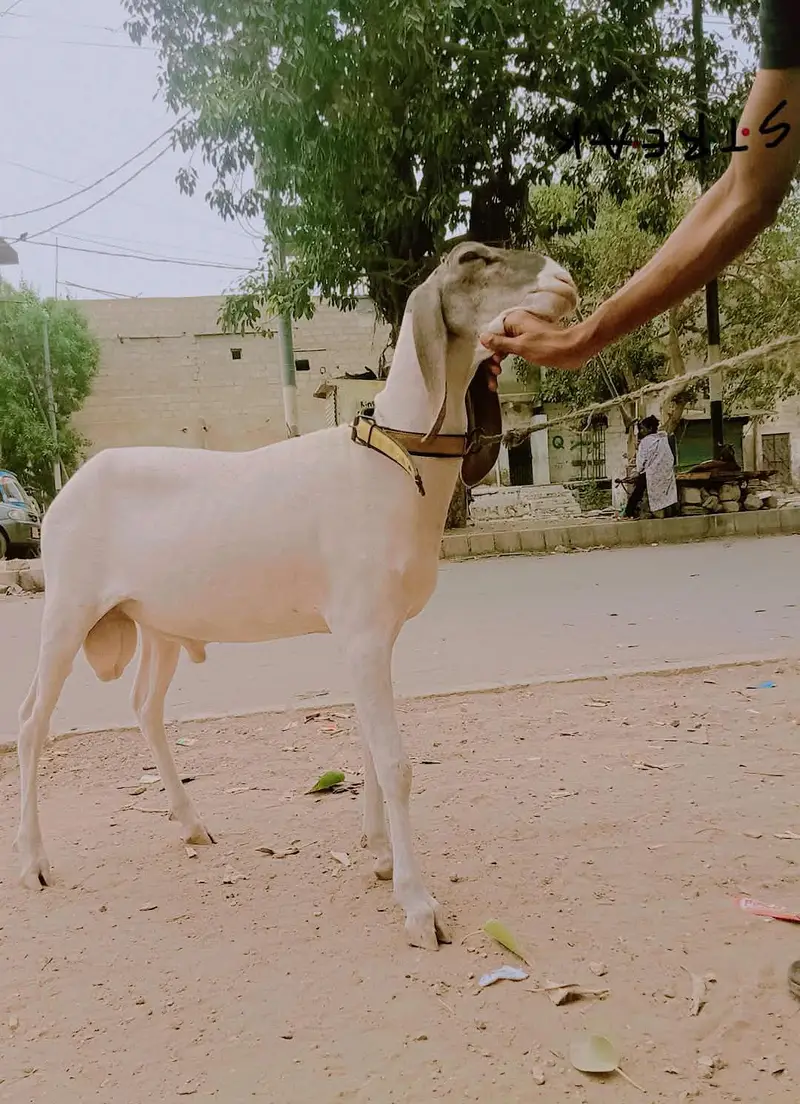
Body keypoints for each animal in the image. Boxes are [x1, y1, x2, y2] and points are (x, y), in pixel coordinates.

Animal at [14, 241, 578, 950]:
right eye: (473, 258)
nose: (563, 280)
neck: (391, 463)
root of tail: (64, 494)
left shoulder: (375, 635)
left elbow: (369, 747)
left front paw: (379, 858)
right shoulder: (362, 632)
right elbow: (396, 763)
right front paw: (418, 906)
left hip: (157, 625)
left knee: (144, 707)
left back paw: (191, 824)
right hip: (66, 612)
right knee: (32, 723)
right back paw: (34, 860)